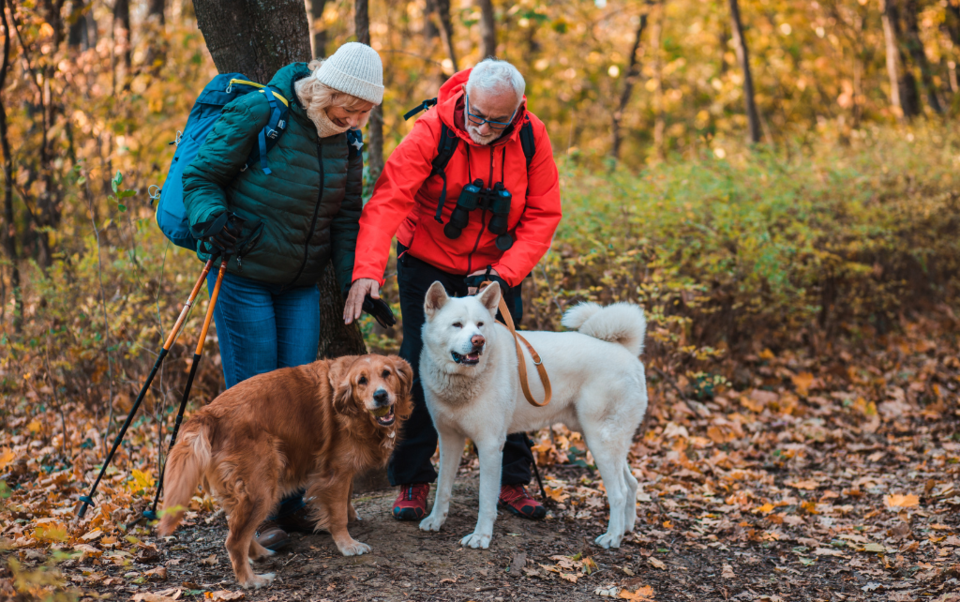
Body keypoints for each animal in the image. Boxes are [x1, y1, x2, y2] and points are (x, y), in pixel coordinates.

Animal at [158, 352, 412, 584]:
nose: (381, 395)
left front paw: (350, 517)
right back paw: (252, 581)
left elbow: (347, 498)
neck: (353, 410)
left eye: (386, 373)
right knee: (233, 541)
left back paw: (259, 554)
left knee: (237, 528)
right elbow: (338, 513)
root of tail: (209, 413)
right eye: (362, 381)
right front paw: (347, 544)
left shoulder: (342, 471)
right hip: (262, 488)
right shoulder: (335, 473)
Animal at [418, 282, 648, 548]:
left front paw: (481, 537)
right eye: (456, 324)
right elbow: (443, 487)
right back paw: (626, 530)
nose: (479, 341)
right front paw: (436, 521)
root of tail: (623, 349)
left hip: (600, 440)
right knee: (631, 484)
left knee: (619, 492)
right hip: (606, 441)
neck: (461, 383)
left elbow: (486, 498)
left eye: (480, 324)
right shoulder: (449, 439)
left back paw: (612, 537)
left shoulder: (490, 445)